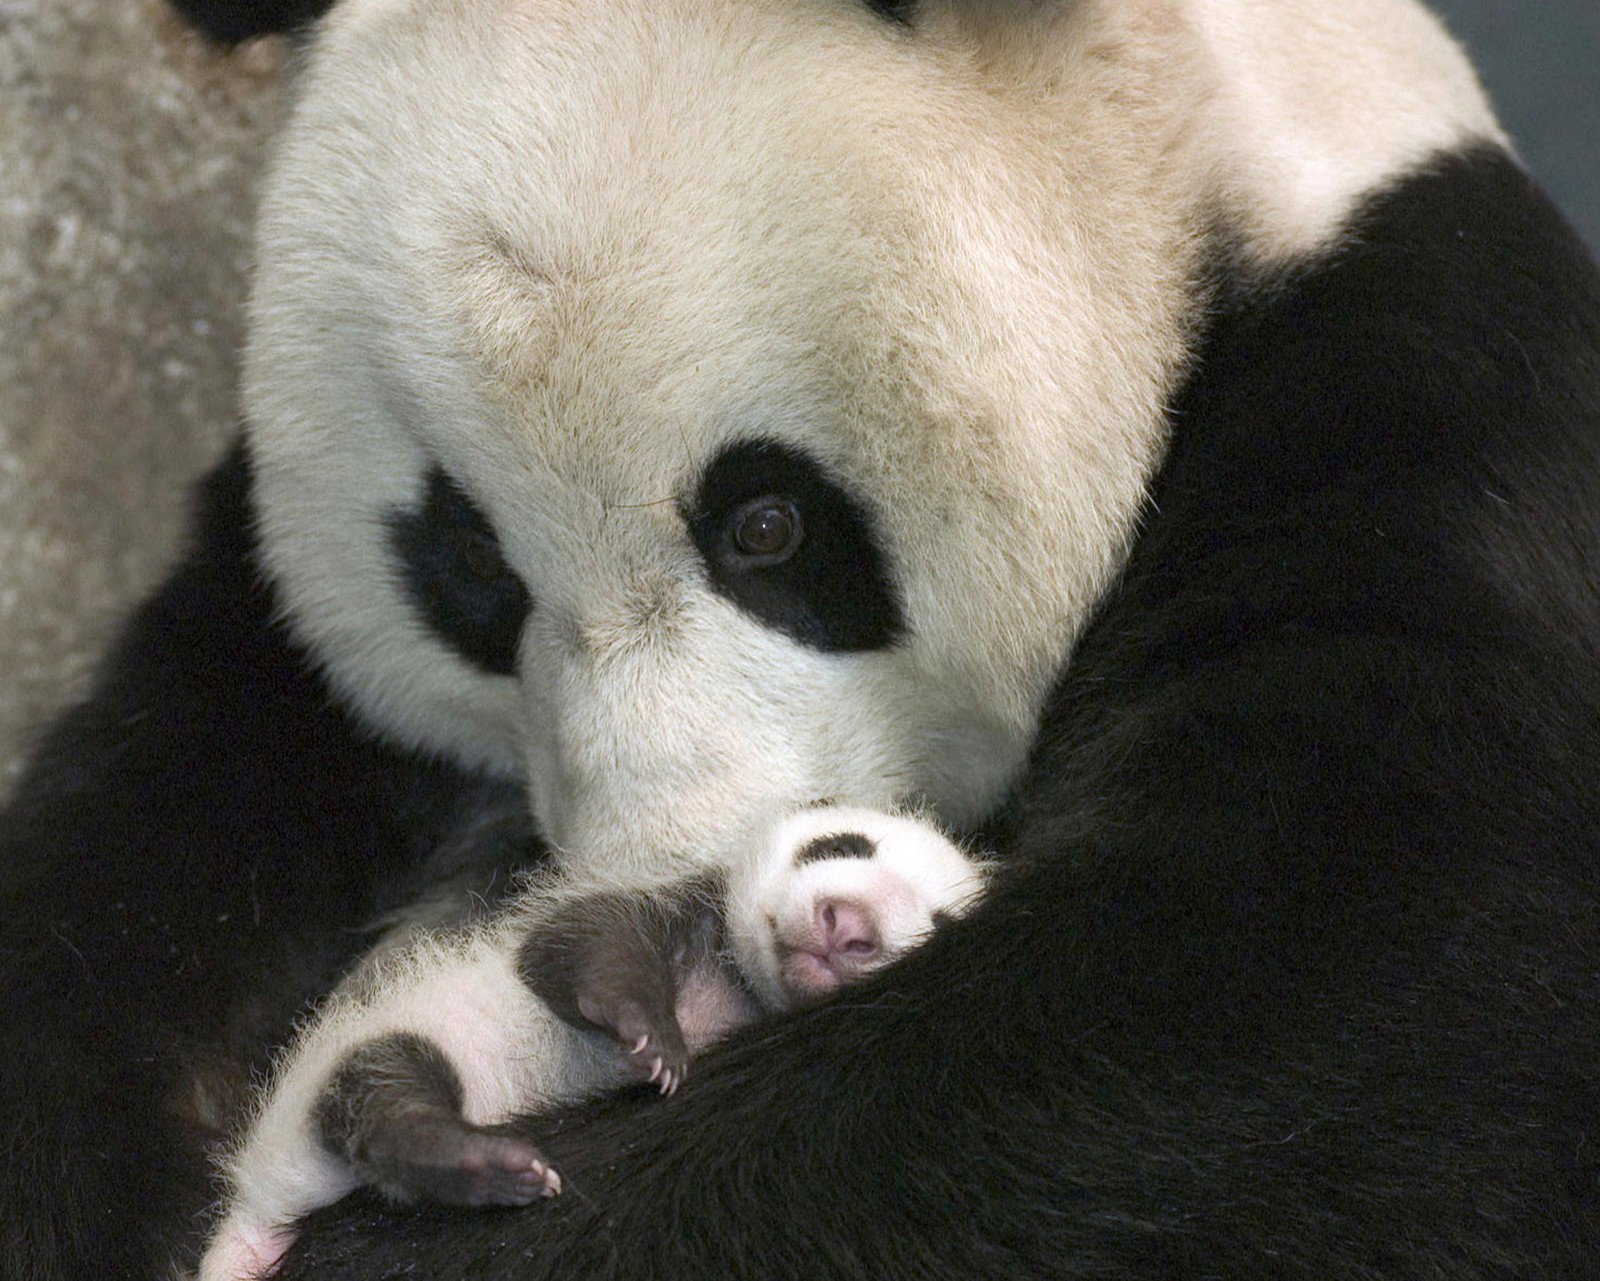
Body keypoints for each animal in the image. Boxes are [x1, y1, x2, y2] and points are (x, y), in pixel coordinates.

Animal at [0, 0, 1593, 1273]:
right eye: (469, 566)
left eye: (765, 524)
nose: (674, 862)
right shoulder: (262, 652)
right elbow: (139, 873)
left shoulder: (1412, 411)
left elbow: (1309, 1027)